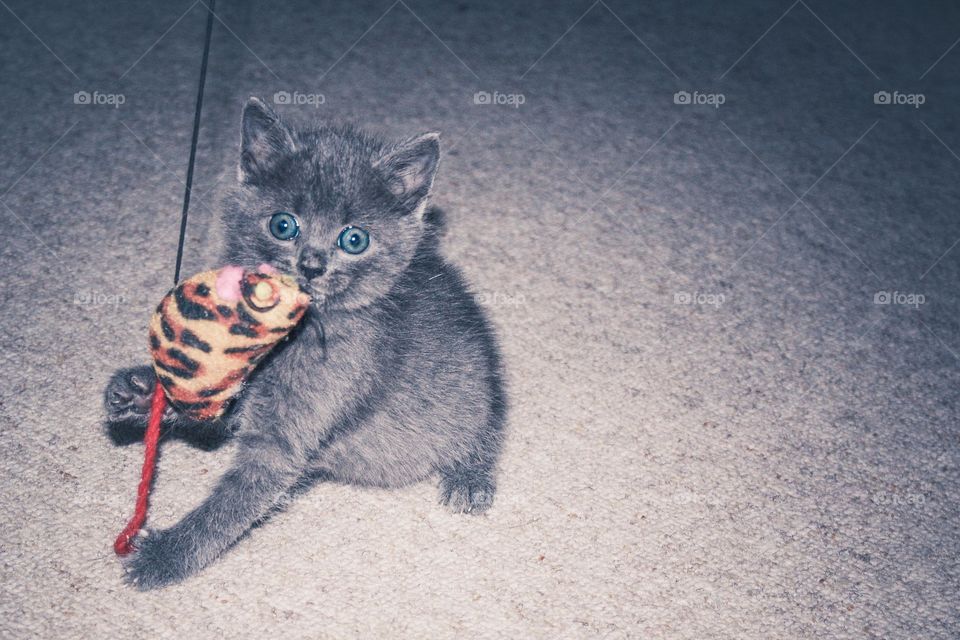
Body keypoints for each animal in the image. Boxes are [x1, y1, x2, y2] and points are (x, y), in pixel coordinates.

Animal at [104, 96, 506, 592]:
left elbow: (237, 499)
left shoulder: (295, 427)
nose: (311, 266)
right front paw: (139, 393)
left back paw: (469, 476)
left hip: (475, 395)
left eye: (354, 239)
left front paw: (168, 555)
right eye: (283, 225)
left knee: (483, 429)